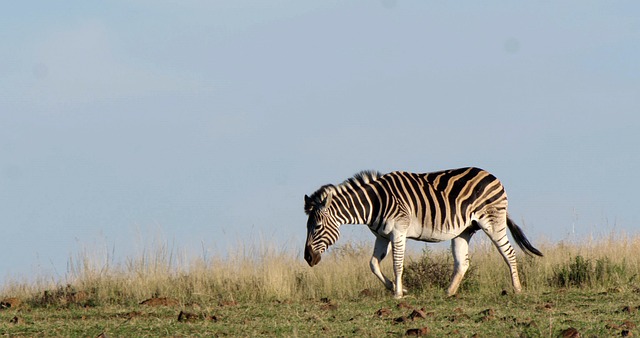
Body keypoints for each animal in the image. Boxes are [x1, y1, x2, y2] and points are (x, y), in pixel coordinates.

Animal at [304, 167, 540, 298]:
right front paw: (396, 288)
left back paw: (517, 289)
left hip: (493, 220)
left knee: (508, 252)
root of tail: (491, 175)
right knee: (462, 262)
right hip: (464, 230)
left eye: (317, 227)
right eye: (306, 227)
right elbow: (373, 264)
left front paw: (398, 294)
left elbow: (397, 264)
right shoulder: (382, 235)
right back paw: (448, 293)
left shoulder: (398, 231)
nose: (307, 258)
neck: (375, 202)